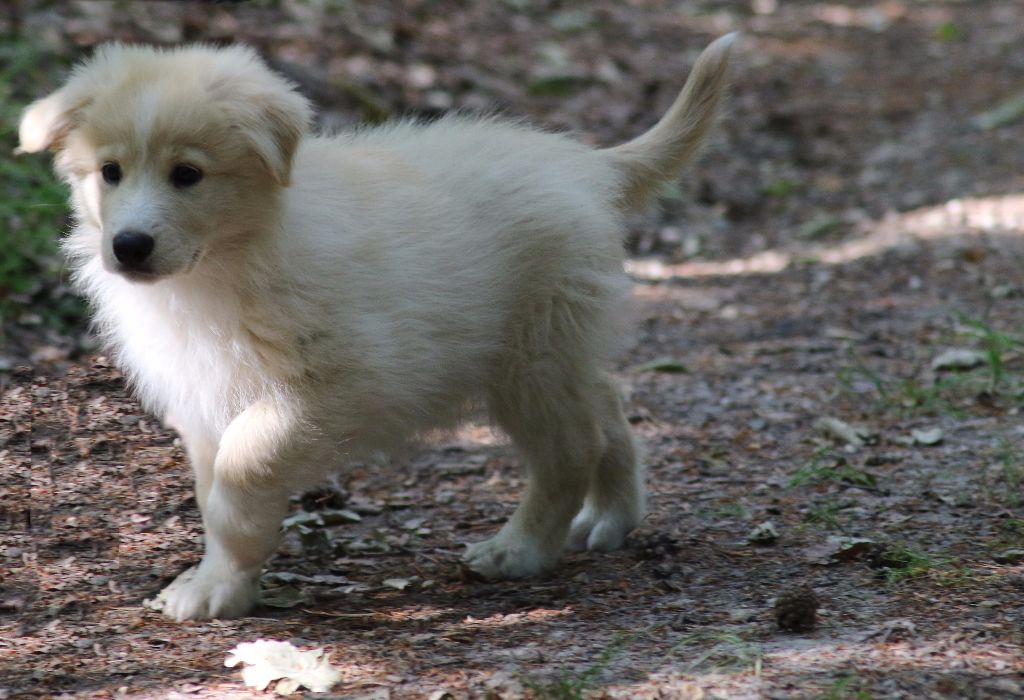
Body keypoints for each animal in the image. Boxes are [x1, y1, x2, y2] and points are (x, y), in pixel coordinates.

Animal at [18, 35, 735, 620]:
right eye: (109, 172)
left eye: (187, 174)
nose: (129, 246)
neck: (230, 260)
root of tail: (584, 166)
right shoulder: (204, 399)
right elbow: (214, 495)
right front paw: (219, 586)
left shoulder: (336, 386)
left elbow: (241, 474)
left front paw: (219, 578)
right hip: (558, 350)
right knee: (608, 405)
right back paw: (610, 515)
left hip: (528, 359)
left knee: (570, 449)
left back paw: (521, 549)